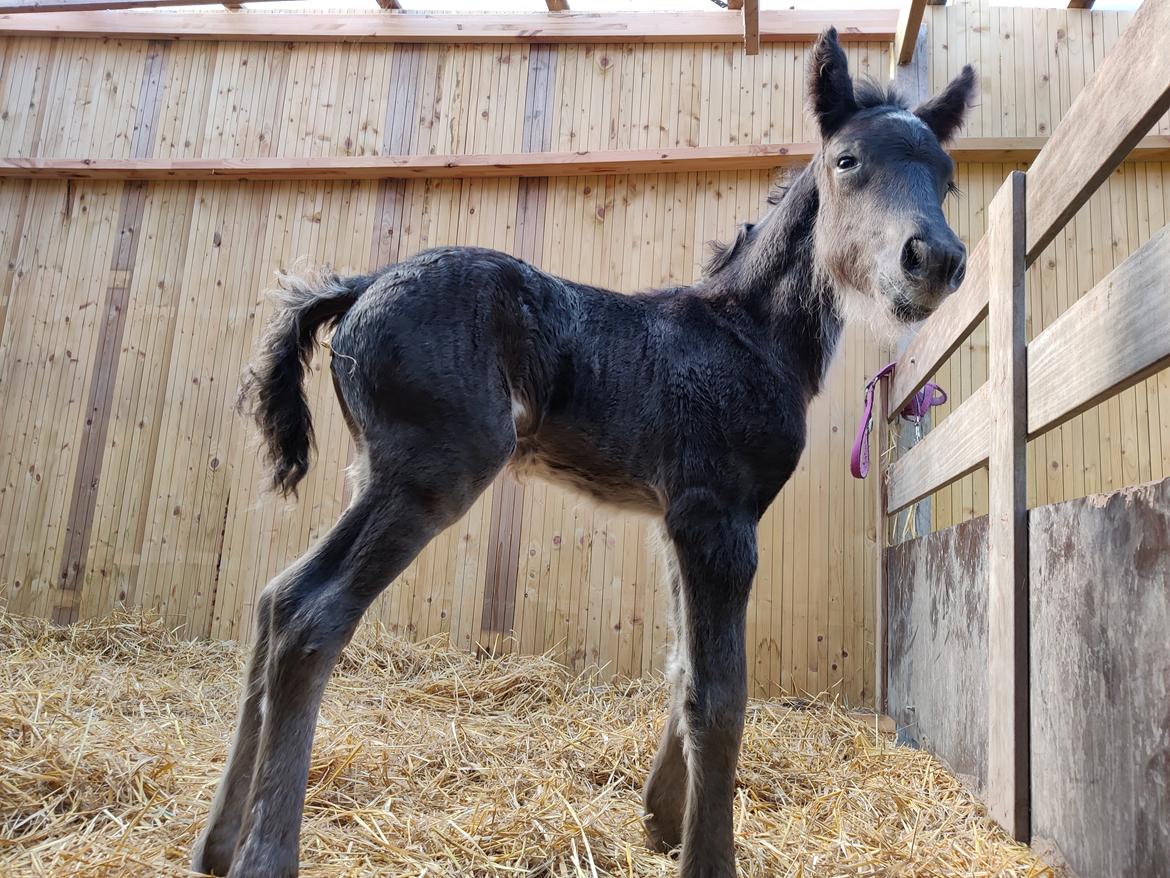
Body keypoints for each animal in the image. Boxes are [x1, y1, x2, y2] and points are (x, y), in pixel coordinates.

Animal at [192, 28, 975, 878]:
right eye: (848, 160)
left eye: (947, 177)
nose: (933, 260)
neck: (747, 336)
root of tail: (360, 284)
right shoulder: (718, 518)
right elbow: (719, 694)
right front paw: (706, 854)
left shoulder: (674, 521)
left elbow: (681, 666)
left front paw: (661, 821)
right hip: (430, 476)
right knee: (311, 614)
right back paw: (265, 853)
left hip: (376, 473)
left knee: (275, 600)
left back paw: (217, 843)